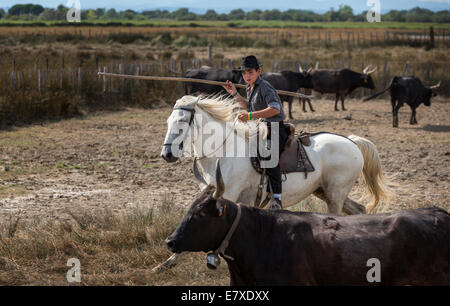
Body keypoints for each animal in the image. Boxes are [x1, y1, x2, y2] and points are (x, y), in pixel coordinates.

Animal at [156, 95, 394, 272]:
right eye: (167, 122)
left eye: (181, 123)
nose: (166, 154)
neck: (224, 151)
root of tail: (352, 141)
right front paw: (167, 262)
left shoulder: (226, 195)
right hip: (325, 191)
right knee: (359, 210)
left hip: (335, 195)